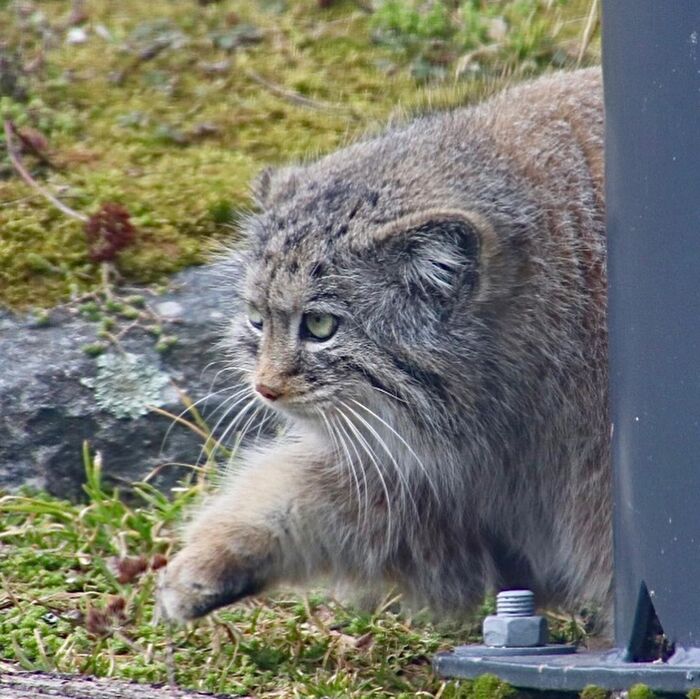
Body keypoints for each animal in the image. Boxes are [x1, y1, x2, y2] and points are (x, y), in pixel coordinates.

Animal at [159, 69, 608, 628]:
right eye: (257, 320)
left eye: (321, 325)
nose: (265, 388)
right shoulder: (458, 499)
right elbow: (314, 494)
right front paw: (210, 557)